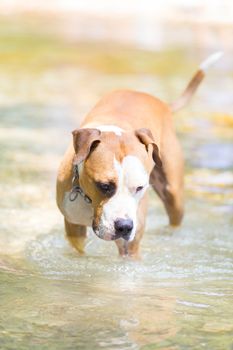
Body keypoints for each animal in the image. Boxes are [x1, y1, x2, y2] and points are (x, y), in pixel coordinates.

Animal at [56, 52, 222, 260]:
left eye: (140, 188)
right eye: (104, 186)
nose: (124, 226)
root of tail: (162, 103)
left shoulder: (130, 245)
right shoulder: (73, 227)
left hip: (173, 194)